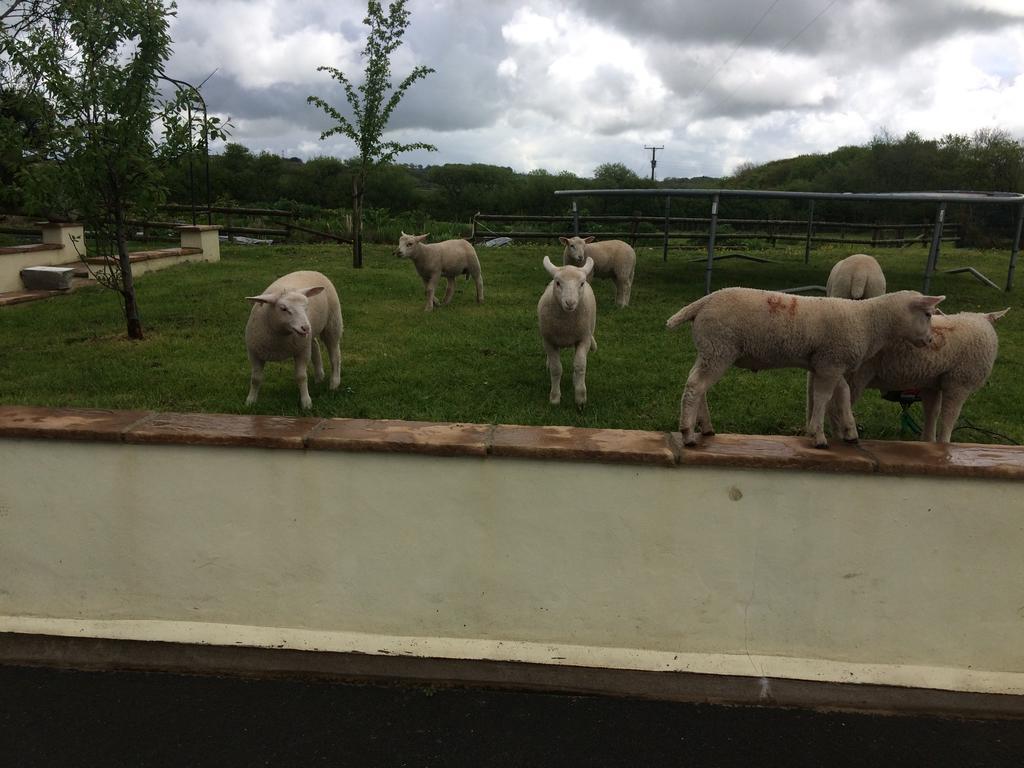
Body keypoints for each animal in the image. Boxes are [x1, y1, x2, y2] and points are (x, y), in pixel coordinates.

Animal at [243, 272, 344, 411]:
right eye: (283, 308)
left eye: (306, 306)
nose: (305, 327)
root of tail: (311, 270)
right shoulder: (254, 354)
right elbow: (255, 379)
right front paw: (250, 401)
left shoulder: (302, 351)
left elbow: (301, 377)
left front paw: (306, 402)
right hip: (310, 335)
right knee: (315, 346)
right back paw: (319, 377)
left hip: (332, 324)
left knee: (335, 355)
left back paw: (334, 383)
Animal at [536, 256, 598, 409]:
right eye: (558, 283)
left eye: (581, 283)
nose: (570, 303)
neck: (566, 327)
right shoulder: (549, 341)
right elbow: (556, 369)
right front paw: (554, 398)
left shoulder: (584, 339)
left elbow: (580, 365)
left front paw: (580, 398)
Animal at [667, 288, 946, 450]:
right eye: (928, 314)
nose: (930, 340)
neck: (869, 321)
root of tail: (702, 303)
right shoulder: (830, 362)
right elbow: (823, 397)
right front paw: (818, 435)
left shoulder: (831, 363)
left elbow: (842, 394)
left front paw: (850, 431)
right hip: (720, 346)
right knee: (695, 386)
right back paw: (688, 434)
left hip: (710, 349)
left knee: (697, 385)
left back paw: (705, 427)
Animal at [831, 309, 1007, 444]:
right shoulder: (959, 384)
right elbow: (949, 417)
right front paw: (944, 444)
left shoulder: (931, 384)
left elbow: (932, 413)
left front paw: (928, 442)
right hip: (855, 375)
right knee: (836, 409)